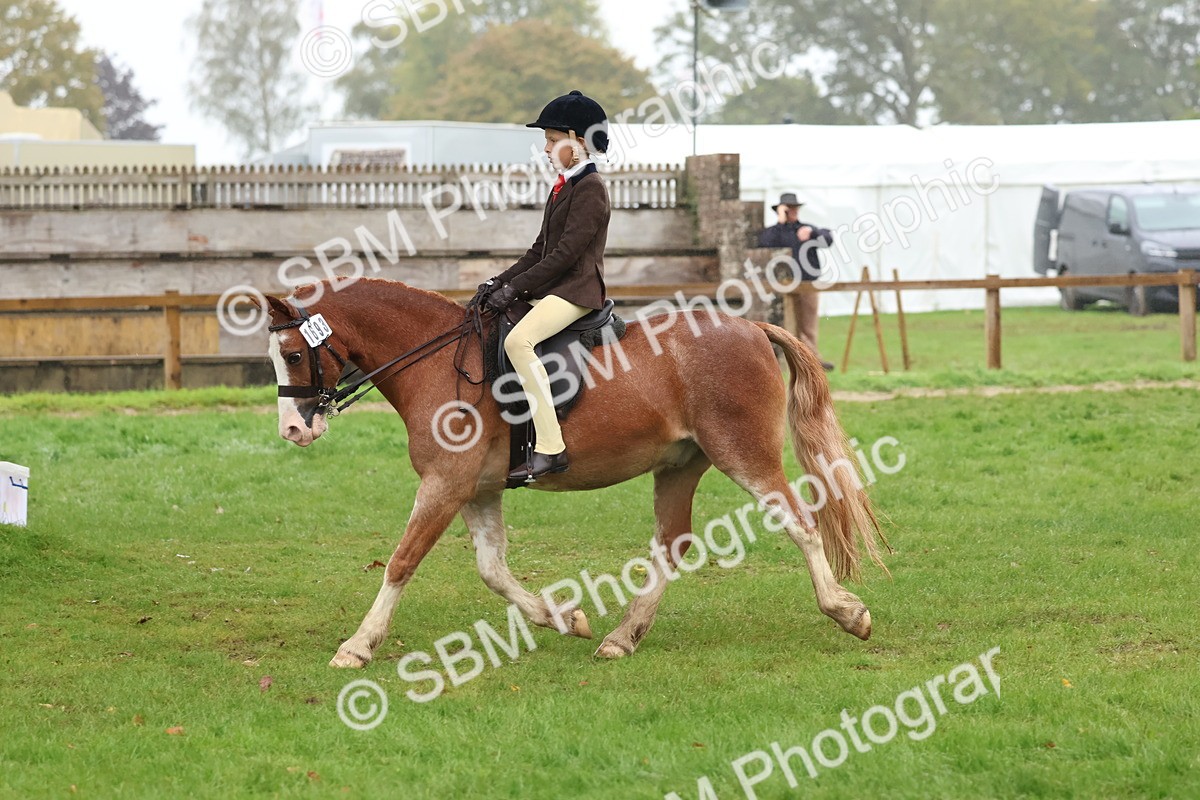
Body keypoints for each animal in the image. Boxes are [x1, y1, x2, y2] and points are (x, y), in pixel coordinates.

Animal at [262, 278, 887, 667]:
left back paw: (847, 613)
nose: (292, 430)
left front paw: (357, 646)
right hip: (681, 465)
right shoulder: (475, 490)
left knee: (800, 522)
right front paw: (564, 618)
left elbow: (402, 561)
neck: (438, 362)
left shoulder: (445, 484)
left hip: (744, 454)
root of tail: (753, 327)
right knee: (672, 543)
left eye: (293, 355)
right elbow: (492, 570)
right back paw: (620, 638)